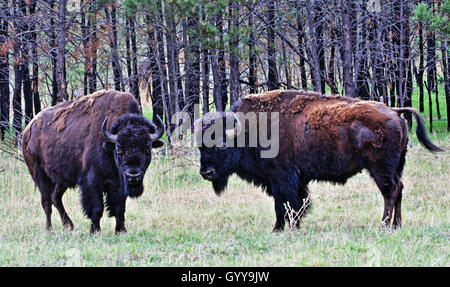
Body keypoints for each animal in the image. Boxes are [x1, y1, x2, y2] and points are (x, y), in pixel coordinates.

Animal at [22, 90, 163, 234]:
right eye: (119, 147)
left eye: (148, 147)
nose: (133, 176)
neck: (109, 144)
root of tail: (28, 129)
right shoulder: (93, 181)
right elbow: (97, 208)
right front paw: (95, 231)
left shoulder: (119, 183)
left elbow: (119, 207)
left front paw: (121, 230)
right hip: (40, 176)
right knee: (46, 202)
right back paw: (49, 228)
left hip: (62, 179)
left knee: (55, 198)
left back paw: (69, 226)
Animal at [194, 90, 442, 232]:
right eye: (200, 146)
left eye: (221, 145)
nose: (206, 173)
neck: (247, 130)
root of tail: (394, 112)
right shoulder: (294, 180)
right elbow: (295, 203)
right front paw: (291, 226)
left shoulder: (281, 178)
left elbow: (284, 204)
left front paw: (281, 228)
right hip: (396, 167)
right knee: (399, 189)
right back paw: (396, 226)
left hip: (380, 169)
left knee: (390, 192)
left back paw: (383, 226)